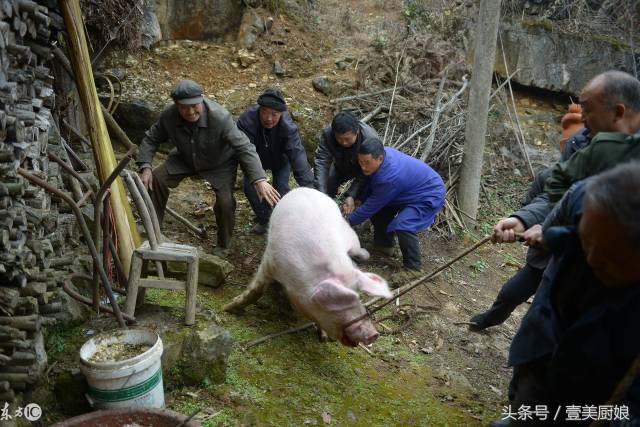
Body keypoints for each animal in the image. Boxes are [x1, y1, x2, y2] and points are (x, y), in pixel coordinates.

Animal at [225, 188, 396, 348]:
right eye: (338, 301)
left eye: (358, 295)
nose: (373, 334)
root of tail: (308, 189)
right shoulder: (270, 260)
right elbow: (256, 290)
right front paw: (228, 308)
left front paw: (324, 338)